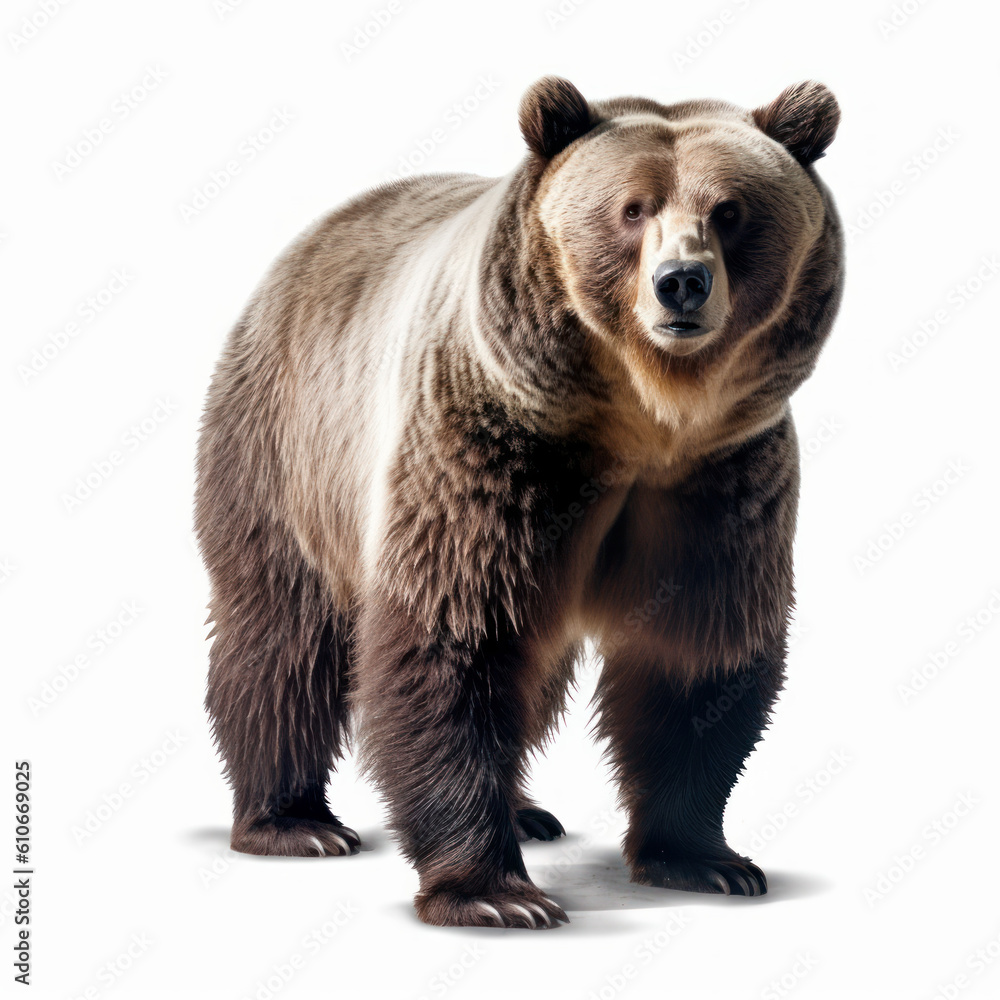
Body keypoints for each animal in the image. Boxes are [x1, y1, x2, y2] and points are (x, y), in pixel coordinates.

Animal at [195, 76, 843, 929]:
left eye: (730, 210)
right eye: (632, 208)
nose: (681, 282)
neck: (641, 420)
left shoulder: (716, 481)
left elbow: (694, 651)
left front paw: (706, 860)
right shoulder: (493, 449)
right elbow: (455, 638)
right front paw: (496, 894)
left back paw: (529, 811)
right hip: (289, 449)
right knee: (281, 639)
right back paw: (294, 821)